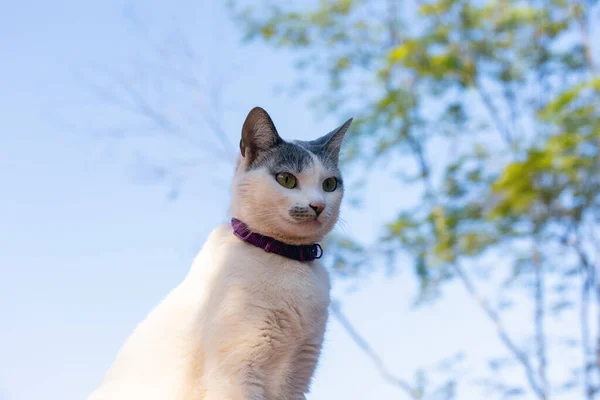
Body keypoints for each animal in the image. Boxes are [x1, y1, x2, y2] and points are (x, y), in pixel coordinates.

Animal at [89, 107, 352, 400]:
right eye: (286, 179)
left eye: (329, 184)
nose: (318, 205)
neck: (288, 257)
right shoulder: (237, 373)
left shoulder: (297, 378)